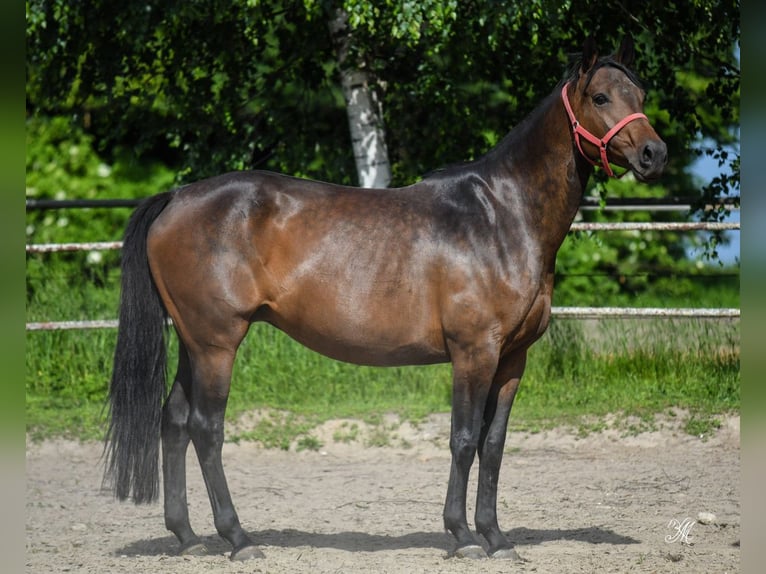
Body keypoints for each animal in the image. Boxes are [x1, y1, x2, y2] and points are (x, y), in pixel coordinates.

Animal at [104, 36, 666, 561]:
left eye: (640, 94)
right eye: (600, 96)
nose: (654, 155)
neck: (501, 216)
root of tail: (177, 198)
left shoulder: (512, 359)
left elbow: (494, 445)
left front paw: (496, 537)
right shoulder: (474, 352)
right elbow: (463, 439)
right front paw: (463, 536)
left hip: (193, 344)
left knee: (174, 422)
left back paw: (187, 537)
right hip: (217, 344)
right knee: (206, 429)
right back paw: (238, 538)